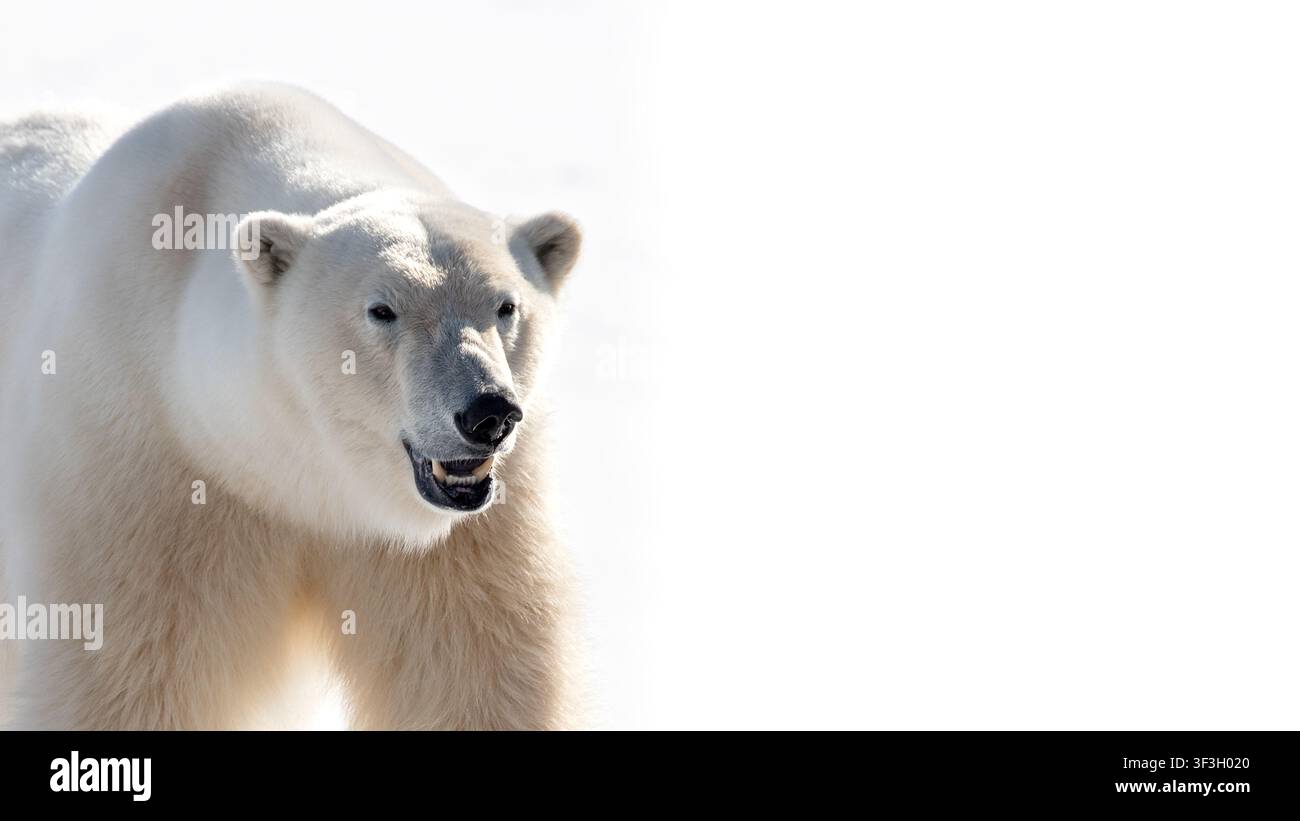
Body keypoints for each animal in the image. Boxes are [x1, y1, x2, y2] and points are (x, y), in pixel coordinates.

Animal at [0, 83, 583, 729]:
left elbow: (473, 661)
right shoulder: (141, 471)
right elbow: (125, 669)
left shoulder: (471, 531)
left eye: (505, 306)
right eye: (382, 310)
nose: (487, 413)